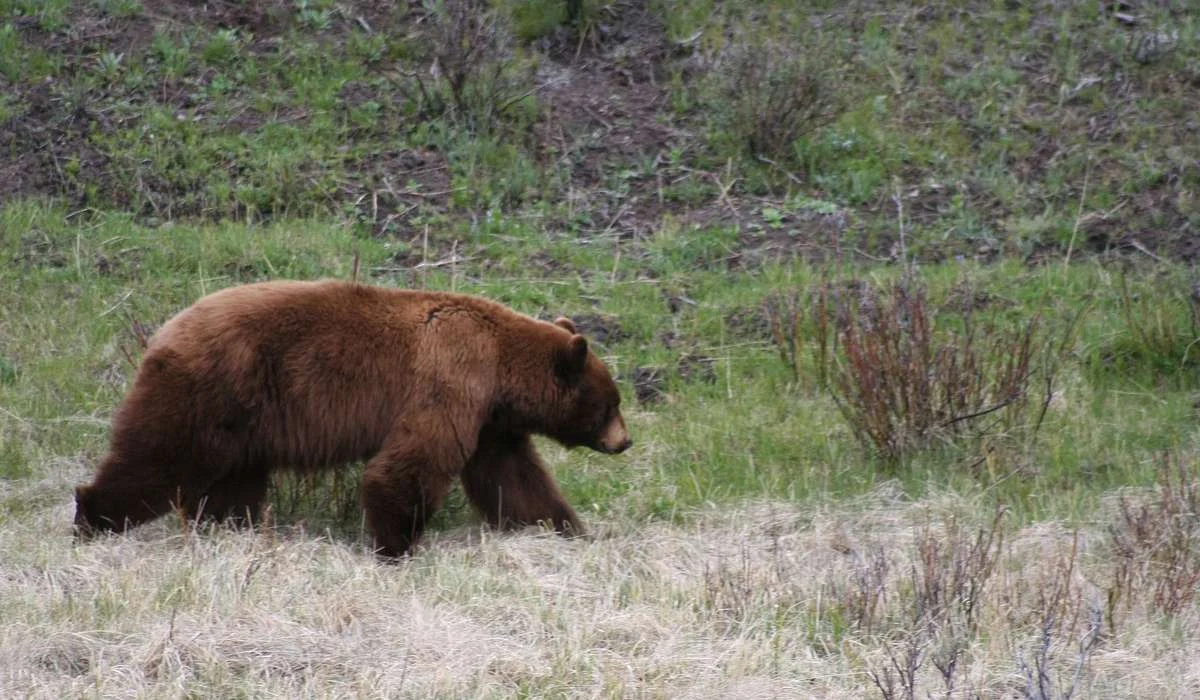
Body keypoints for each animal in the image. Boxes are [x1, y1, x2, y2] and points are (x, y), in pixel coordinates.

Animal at [73, 280, 632, 558]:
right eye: (611, 403)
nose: (624, 442)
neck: (499, 367)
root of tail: (163, 332)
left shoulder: (492, 423)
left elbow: (514, 478)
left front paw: (564, 529)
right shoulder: (451, 382)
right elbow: (411, 462)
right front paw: (395, 546)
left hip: (243, 422)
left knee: (232, 484)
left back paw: (231, 531)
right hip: (208, 392)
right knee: (156, 459)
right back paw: (91, 518)